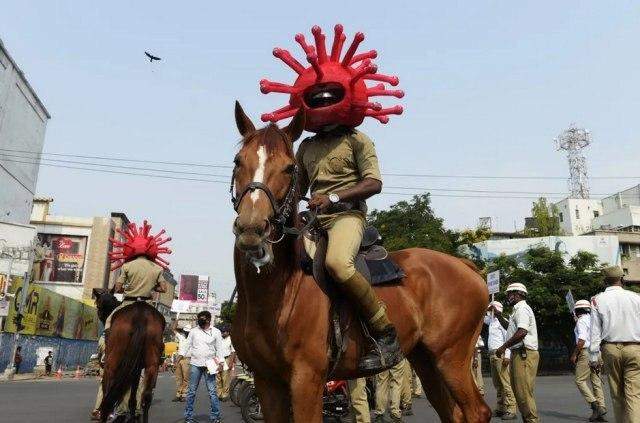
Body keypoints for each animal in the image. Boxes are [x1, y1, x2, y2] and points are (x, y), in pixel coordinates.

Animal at [94, 290, 168, 423]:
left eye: (97, 305)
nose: (101, 318)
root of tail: (141, 315)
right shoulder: (136, 369)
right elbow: (133, 399)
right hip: (152, 363)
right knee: (146, 397)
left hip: (112, 363)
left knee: (107, 395)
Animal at [230, 103, 490, 423]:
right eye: (238, 161)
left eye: (289, 168)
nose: (252, 229)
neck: (276, 292)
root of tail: (465, 266)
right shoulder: (266, 380)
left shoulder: (307, 379)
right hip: (425, 359)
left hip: (451, 356)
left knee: (476, 411)